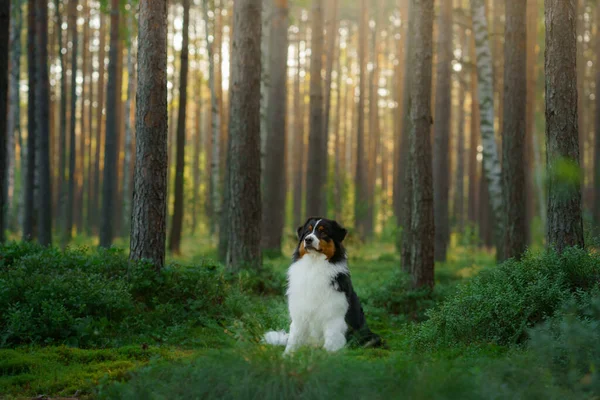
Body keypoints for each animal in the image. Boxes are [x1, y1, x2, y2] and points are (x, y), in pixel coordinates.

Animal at [264, 219, 384, 354]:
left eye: (323, 232)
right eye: (307, 232)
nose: (308, 240)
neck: (314, 265)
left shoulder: (334, 315)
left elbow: (332, 339)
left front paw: (327, 355)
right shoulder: (299, 312)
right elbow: (294, 337)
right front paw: (288, 355)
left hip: (371, 336)